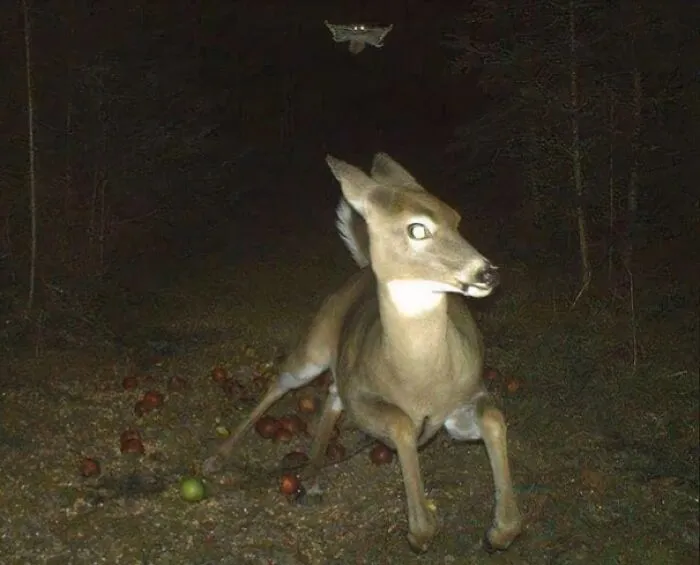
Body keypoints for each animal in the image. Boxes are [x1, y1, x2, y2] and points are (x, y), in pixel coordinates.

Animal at [203, 153, 522, 553]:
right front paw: (420, 531)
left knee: (331, 394)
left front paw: (500, 530)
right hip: (314, 345)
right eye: (417, 229)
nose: (487, 273)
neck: (420, 381)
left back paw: (312, 475)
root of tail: (363, 270)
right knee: (282, 382)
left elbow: (493, 418)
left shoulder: (465, 397)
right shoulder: (365, 399)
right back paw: (218, 458)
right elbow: (401, 424)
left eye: (456, 218)